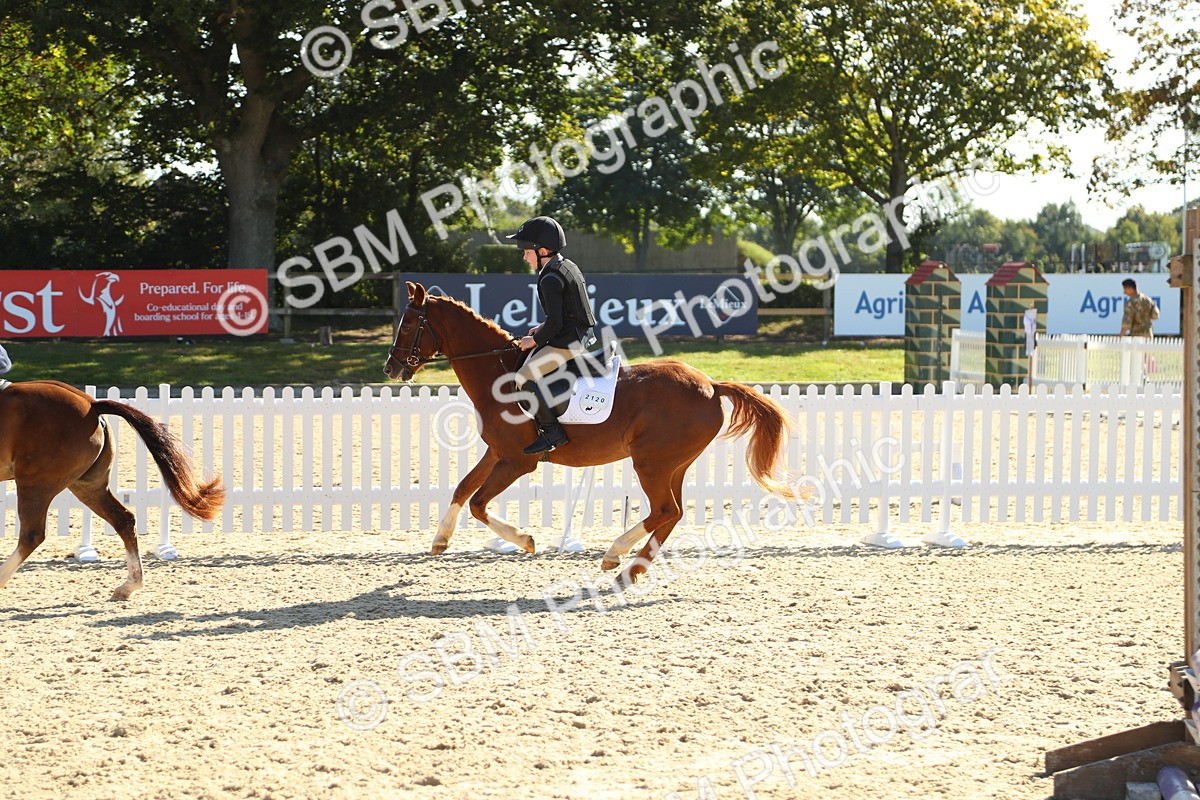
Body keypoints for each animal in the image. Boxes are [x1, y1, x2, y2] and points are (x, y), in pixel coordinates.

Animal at [0, 380, 224, 599]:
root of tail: (91, 405)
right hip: (87, 487)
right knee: (123, 520)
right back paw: (129, 585)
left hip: (36, 484)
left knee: (32, 535)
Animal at [383, 282, 799, 585]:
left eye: (408, 325)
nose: (391, 368)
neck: (498, 374)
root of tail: (711, 384)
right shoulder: (497, 453)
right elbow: (463, 488)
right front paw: (440, 539)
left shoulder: (518, 461)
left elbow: (478, 502)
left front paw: (525, 540)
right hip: (673, 464)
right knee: (672, 513)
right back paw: (632, 569)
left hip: (651, 462)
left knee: (665, 510)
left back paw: (616, 556)